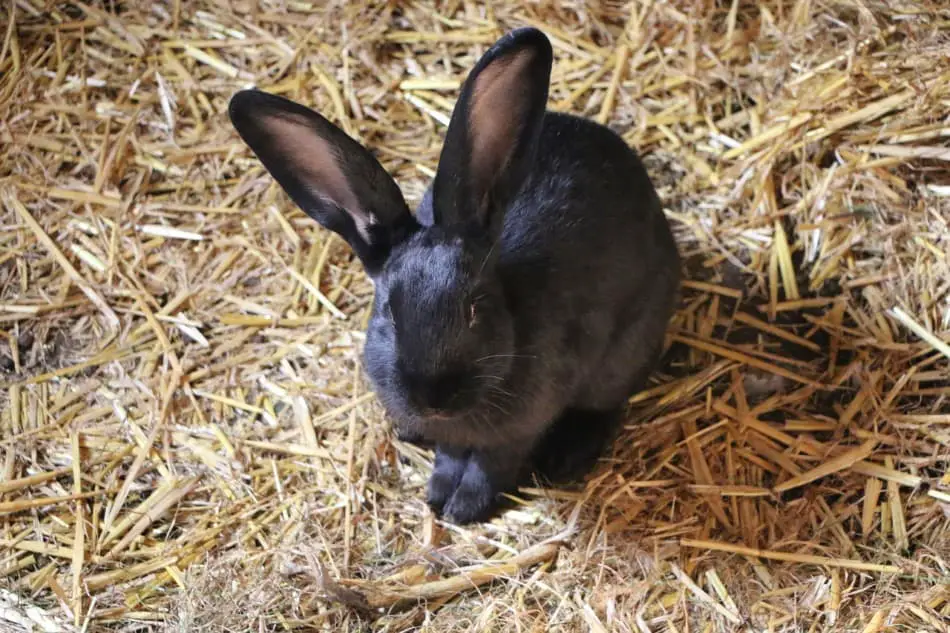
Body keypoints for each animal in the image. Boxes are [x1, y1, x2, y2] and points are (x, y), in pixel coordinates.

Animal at [227, 25, 680, 524]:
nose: (433, 396)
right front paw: (440, 494)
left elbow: (491, 463)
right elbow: (450, 454)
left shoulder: (518, 430)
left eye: (475, 308)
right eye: (388, 313)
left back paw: (566, 457)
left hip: (627, 348)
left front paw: (463, 508)